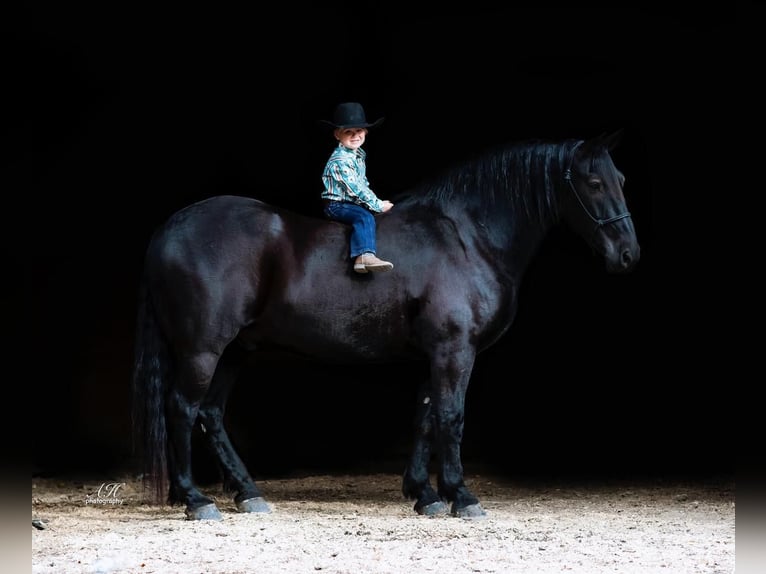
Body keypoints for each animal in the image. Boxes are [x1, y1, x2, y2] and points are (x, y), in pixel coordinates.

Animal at [134, 130, 640, 520]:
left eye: (621, 179)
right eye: (594, 181)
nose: (628, 254)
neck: (465, 236)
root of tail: (170, 229)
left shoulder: (436, 354)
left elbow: (425, 416)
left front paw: (424, 494)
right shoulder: (455, 351)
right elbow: (451, 417)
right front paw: (461, 496)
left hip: (235, 351)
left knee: (210, 414)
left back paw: (246, 493)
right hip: (203, 349)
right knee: (183, 408)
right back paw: (196, 500)